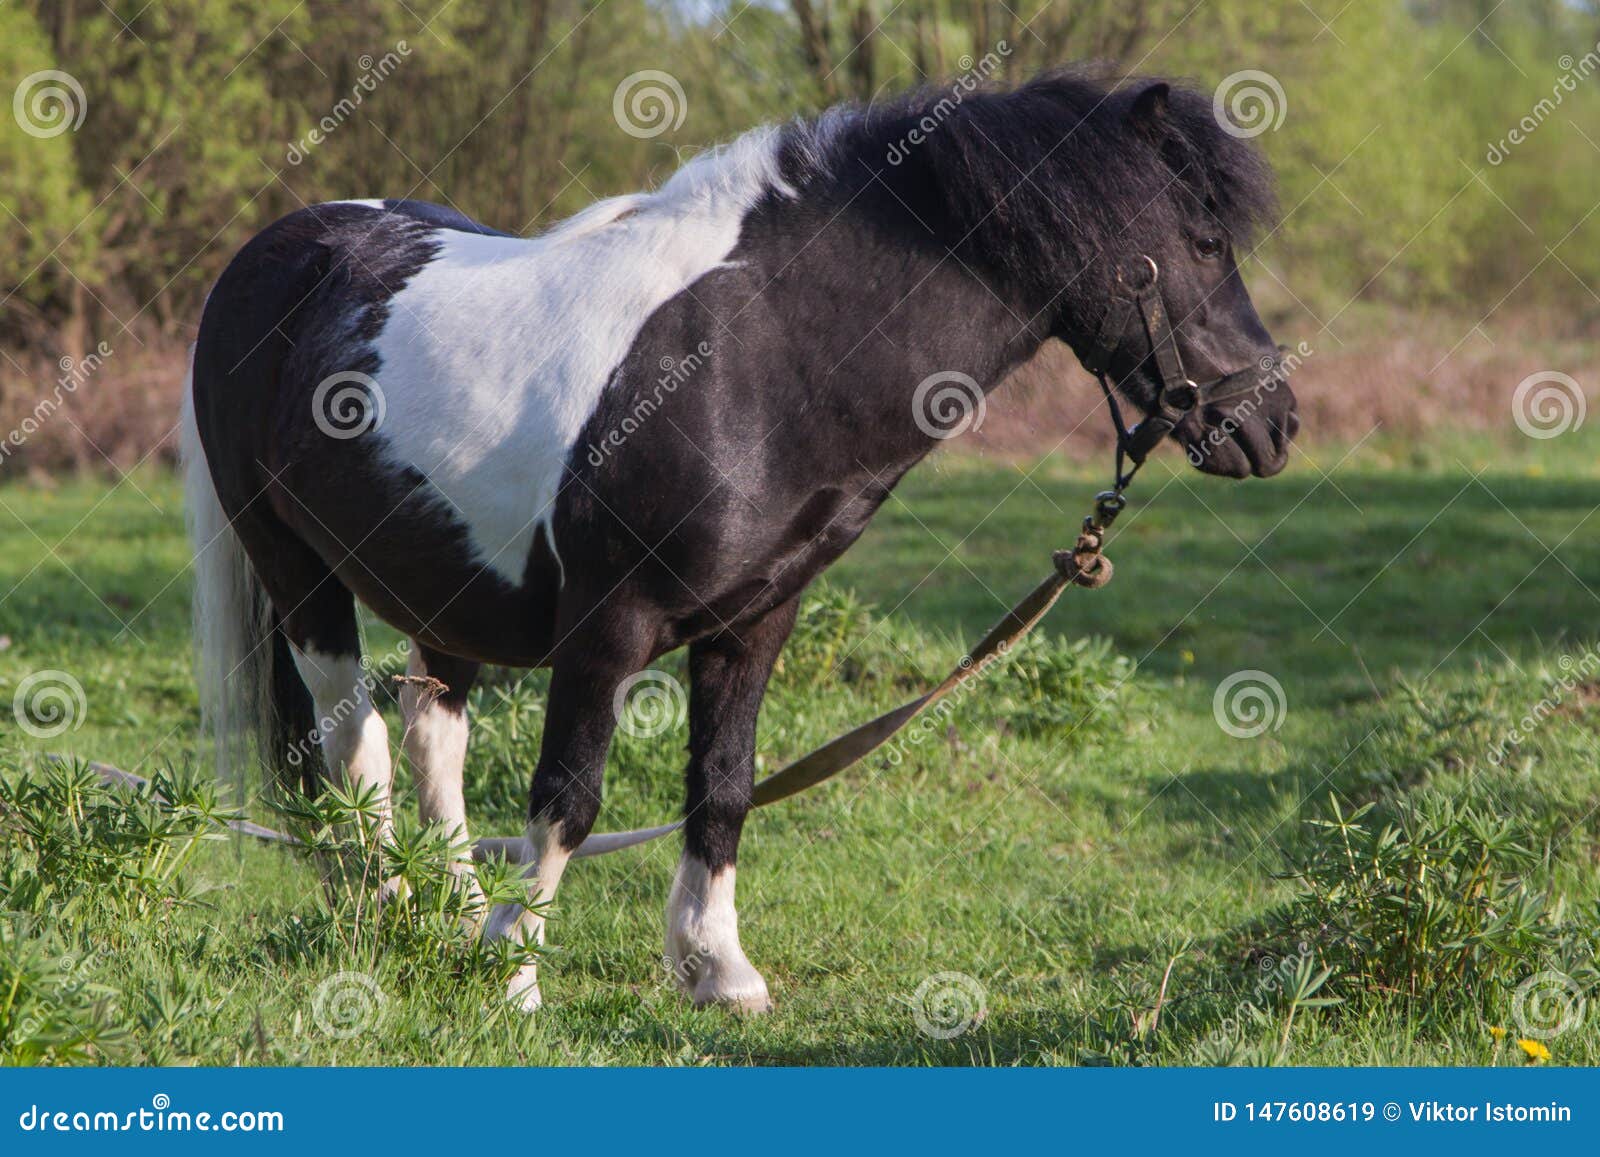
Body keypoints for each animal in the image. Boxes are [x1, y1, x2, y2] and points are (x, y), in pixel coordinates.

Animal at [181, 72, 1299, 1011]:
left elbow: (722, 786)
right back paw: (396, 906)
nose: (1275, 423)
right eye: (1203, 243)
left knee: (430, 734)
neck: (751, 361)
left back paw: (451, 912)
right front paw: (515, 974)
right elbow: (568, 798)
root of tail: (275, 254)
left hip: (443, 586)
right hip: (296, 570)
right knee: (353, 740)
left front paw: (716, 970)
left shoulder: (758, 619)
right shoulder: (608, 626)